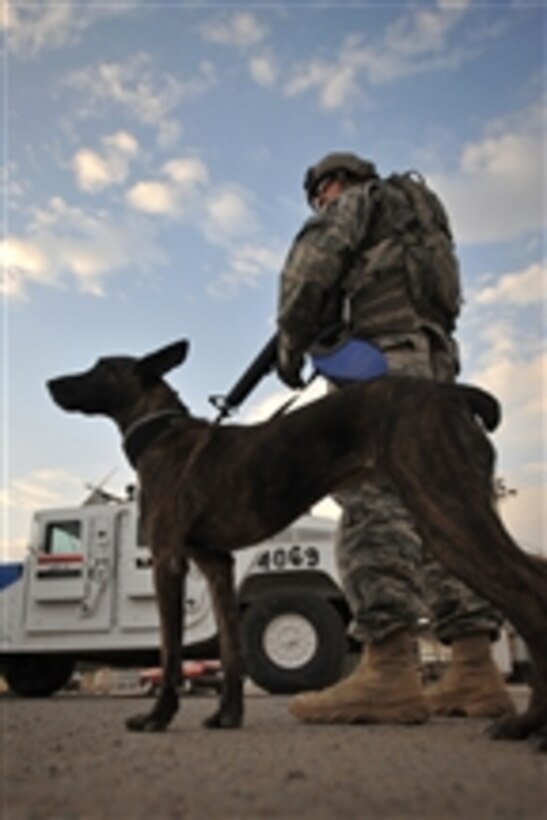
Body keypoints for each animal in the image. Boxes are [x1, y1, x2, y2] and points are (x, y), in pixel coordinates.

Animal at [47, 336, 547, 748]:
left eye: (98, 367)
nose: (51, 382)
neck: (163, 434)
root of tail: (454, 393)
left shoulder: (168, 558)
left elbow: (170, 652)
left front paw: (157, 717)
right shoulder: (216, 564)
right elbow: (231, 650)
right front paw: (228, 716)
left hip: (449, 516)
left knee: (528, 592)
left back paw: (528, 726)